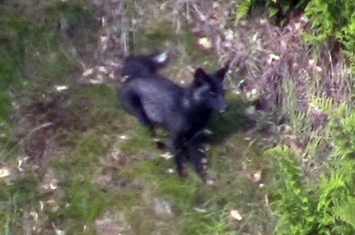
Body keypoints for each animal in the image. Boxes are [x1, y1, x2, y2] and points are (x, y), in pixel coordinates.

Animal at [118, 52, 229, 182]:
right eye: (211, 93)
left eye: (223, 92)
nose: (226, 107)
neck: (192, 112)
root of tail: (135, 77)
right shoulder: (175, 138)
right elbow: (177, 161)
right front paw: (181, 178)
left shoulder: (194, 139)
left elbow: (197, 162)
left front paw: (203, 178)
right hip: (142, 116)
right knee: (152, 136)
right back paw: (161, 146)